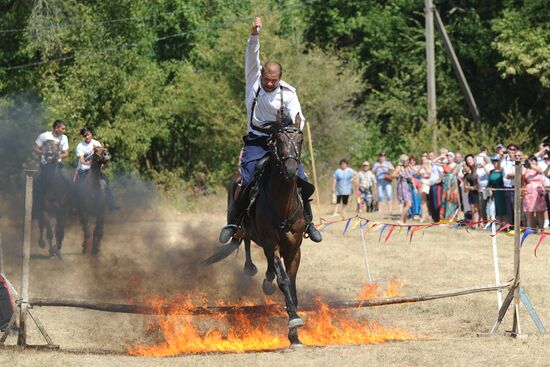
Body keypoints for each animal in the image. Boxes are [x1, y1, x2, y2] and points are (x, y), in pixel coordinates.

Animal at [206, 117, 310, 348]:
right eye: (279, 139)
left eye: (300, 140)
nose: (291, 169)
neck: (283, 205)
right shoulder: (272, 242)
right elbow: (284, 280)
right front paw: (293, 321)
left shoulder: (294, 246)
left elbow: (292, 282)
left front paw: (295, 334)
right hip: (247, 230)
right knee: (244, 240)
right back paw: (251, 268)